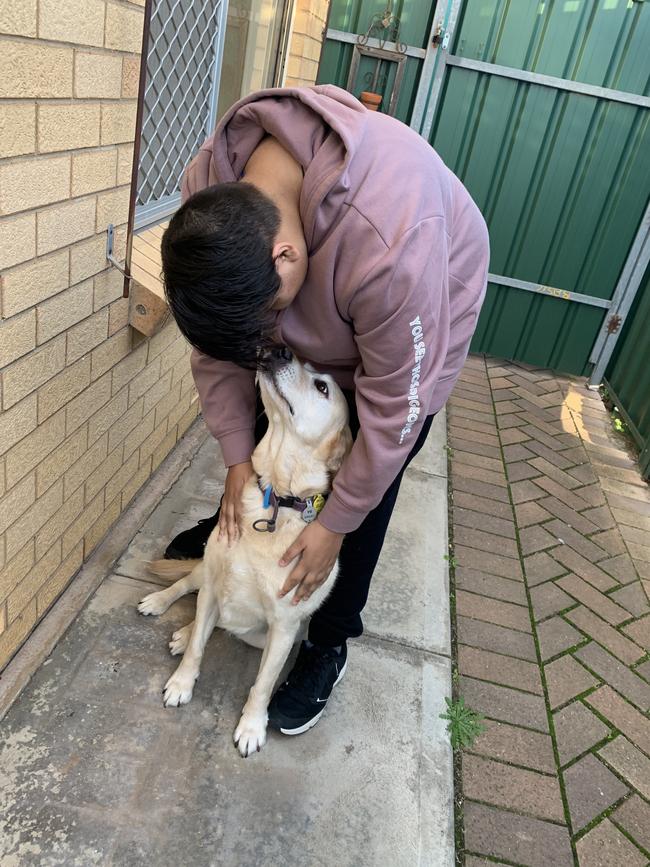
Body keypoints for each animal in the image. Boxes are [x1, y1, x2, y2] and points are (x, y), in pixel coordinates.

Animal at [137, 356, 350, 756]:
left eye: (323, 387)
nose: (280, 352)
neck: (275, 498)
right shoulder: (214, 582)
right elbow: (197, 650)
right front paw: (181, 683)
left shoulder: (283, 629)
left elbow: (262, 685)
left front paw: (252, 727)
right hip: (206, 572)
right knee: (187, 587)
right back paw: (162, 605)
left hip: (265, 636)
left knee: (222, 624)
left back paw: (185, 632)